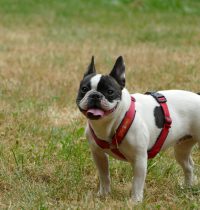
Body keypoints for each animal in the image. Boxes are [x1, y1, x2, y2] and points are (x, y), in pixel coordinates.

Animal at [76, 55, 199, 202]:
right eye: (84, 89)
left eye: (110, 92)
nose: (95, 95)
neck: (111, 123)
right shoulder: (98, 155)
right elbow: (104, 176)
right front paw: (104, 194)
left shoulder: (139, 158)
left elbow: (137, 182)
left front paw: (135, 201)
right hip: (182, 148)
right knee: (188, 166)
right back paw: (187, 187)